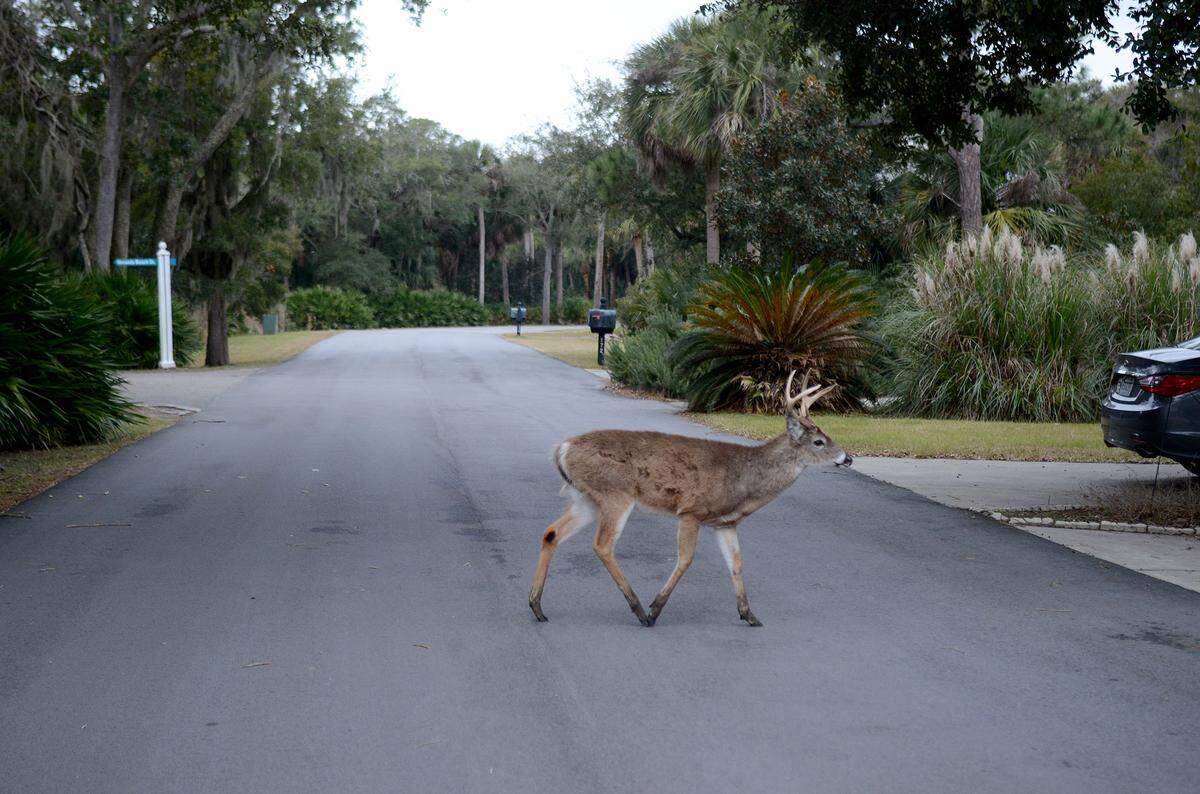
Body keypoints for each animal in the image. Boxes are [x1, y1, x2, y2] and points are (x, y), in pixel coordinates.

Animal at [528, 371, 852, 627]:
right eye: (819, 442)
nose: (847, 458)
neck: (743, 480)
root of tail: (562, 448)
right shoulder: (691, 511)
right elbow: (685, 559)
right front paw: (656, 608)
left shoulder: (725, 523)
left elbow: (736, 563)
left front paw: (749, 615)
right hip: (615, 494)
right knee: (602, 545)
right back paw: (639, 610)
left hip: (587, 499)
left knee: (551, 533)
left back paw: (537, 606)